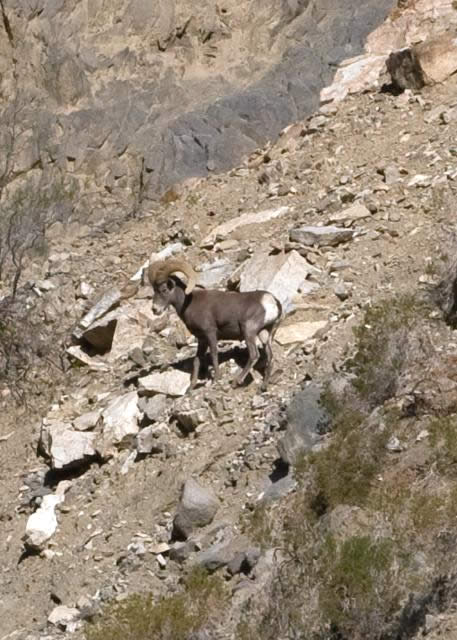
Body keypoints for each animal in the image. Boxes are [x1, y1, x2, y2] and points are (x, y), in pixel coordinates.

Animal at [146, 256, 282, 388]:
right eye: (154, 290)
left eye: (164, 290)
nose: (154, 309)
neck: (189, 304)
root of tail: (270, 301)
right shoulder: (201, 339)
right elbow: (197, 360)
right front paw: (191, 387)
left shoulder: (210, 333)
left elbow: (213, 354)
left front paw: (216, 378)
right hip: (265, 333)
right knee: (270, 357)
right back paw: (263, 387)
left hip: (248, 331)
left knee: (254, 355)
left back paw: (236, 382)